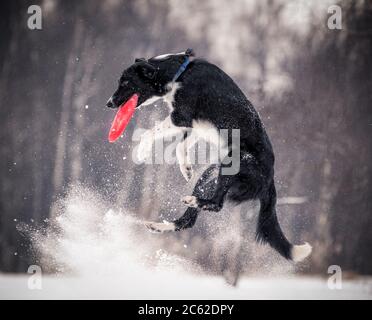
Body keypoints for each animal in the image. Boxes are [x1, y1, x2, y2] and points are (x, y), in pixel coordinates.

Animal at [107, 48, 310, 262]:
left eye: (125, 82)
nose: (108, 103)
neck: (180, 73)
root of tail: (270, 180)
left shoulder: (180, 117)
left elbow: (150, 133)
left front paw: (142, 151)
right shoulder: (195, 125)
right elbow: (181, 146)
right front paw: (186, 169)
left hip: (234, 162)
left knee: (216, 204)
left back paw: (192, 202)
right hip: (210, 176)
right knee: (189, 220)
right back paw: (160, 225)